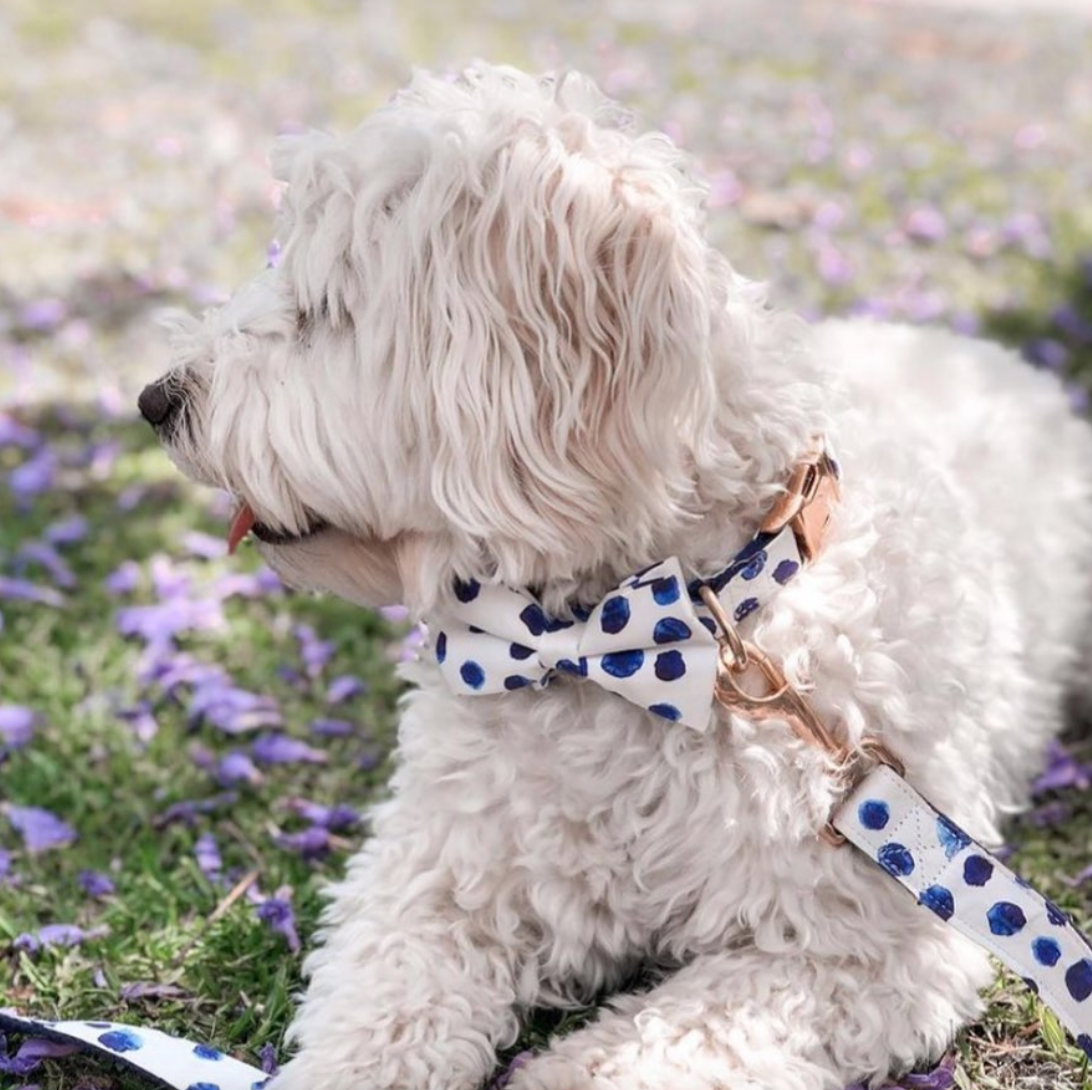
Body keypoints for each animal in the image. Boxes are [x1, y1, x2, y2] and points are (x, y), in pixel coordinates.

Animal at [143, 66, 1092, 1090]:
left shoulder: (868, 945)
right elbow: (380, 1015)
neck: (620, 642)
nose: (156, 399)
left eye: (327, 308)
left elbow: (654, 1042)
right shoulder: (438, 878)